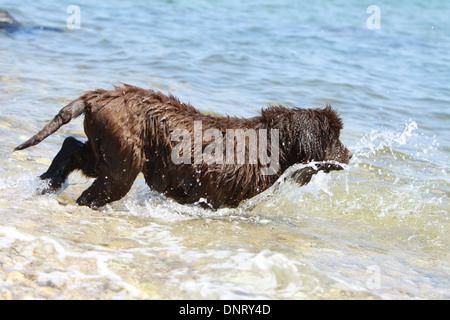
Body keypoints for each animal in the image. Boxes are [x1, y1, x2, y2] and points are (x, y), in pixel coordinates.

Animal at [13, 84, 352, 210]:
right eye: (334, 137)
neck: (272, 142)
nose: (349, 153)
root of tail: (99, 96)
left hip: (107, 147)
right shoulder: (216, 194)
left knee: (72, 146)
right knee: (99, 187)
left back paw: (49, 182)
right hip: (123, 158)